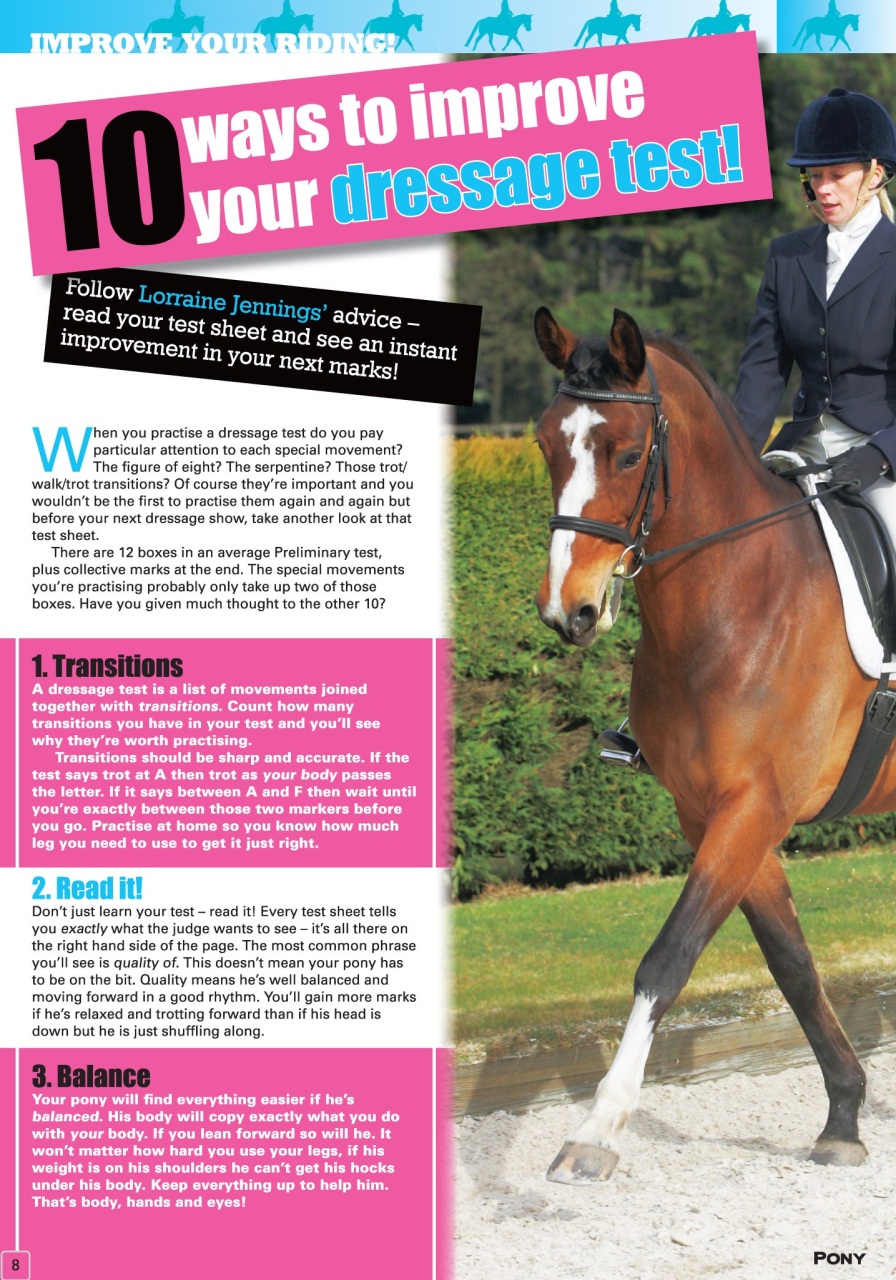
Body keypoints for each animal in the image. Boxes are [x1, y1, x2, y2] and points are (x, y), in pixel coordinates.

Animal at [533, 305, 886, 1183]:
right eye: (546, 444)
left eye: (629, 453)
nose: (568, 612)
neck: (737, 598)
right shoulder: (715, 813)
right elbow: (790, 962)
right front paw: (843, 1116)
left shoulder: (755, 806)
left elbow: (669, 956)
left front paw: (596, 1132)